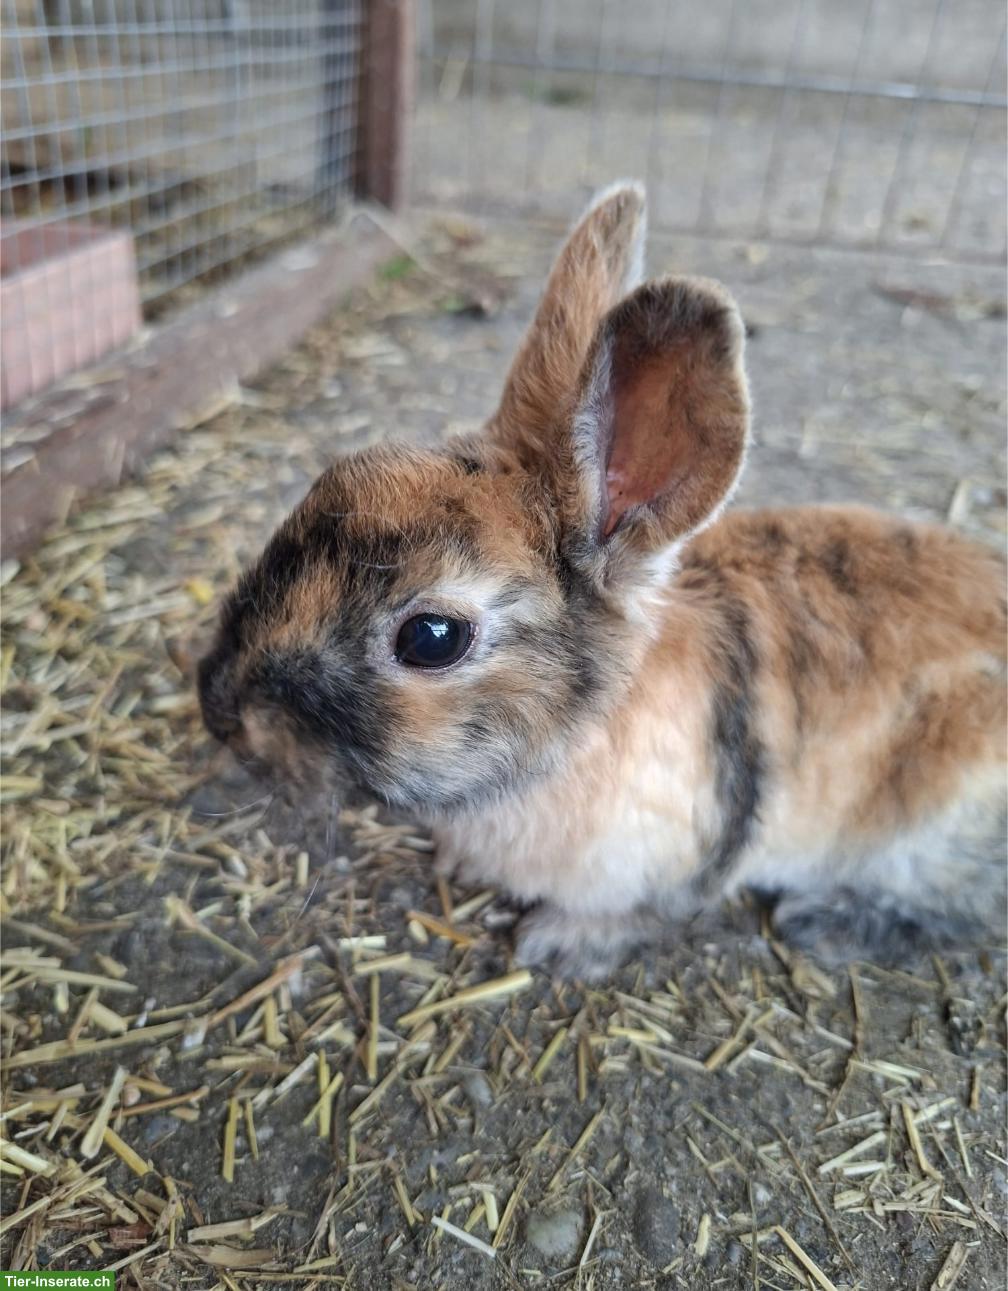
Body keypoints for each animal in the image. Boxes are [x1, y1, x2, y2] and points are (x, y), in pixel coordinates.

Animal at [198, 181, 1007, 980]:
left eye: (431, 638)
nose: (220, 710)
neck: (582, 731)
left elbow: (651, 912)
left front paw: (559, 944)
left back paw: (828, 924)